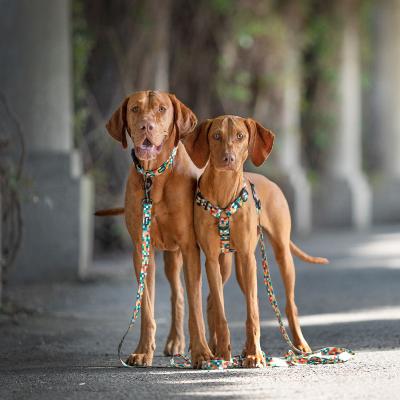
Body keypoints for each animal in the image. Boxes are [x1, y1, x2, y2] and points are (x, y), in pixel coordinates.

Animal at [106, 91, 212, 368]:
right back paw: (175, 341)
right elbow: (146, 307)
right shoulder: (142, 249)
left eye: (162, 109)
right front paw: (144, 351)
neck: (154, 176)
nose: (146, 126)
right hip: (171, 257)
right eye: (134, 109)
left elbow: (196, 306)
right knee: (177, 295)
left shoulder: (190, 247)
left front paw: (202, 353)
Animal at [184, 114, 328, 368]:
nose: (228, 158)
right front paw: (223, 354)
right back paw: (214, 347)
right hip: (227, 265)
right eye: (216, 135)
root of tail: (265, 179)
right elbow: (220, 312)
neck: (224, 191)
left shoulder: (247, 257)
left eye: (240, 136)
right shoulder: (211, 259)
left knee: (289, 304)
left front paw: (254, 354)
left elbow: (252, 311)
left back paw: (299, 344)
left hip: (278, 255)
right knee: (211, 301)